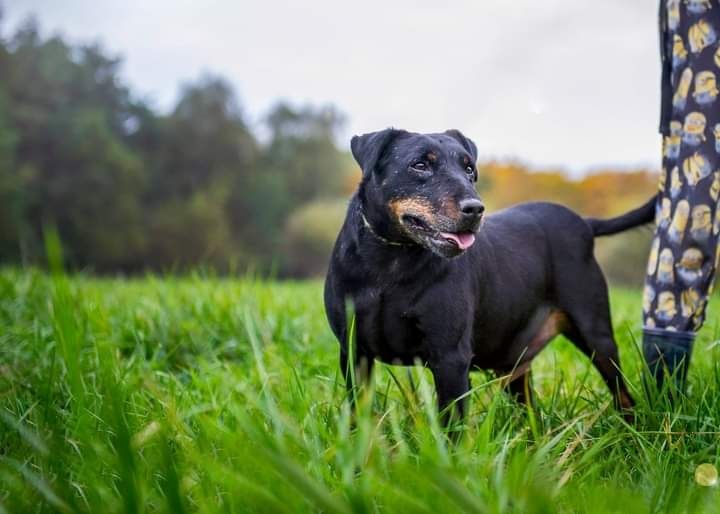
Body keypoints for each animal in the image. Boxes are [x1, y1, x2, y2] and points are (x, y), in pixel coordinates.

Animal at [324, 127, 656, 420]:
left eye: (469, 169)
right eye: (419, 165)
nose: (474, 208)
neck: (391, 262)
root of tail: (586, 224)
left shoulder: (450, 358)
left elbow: (452, 428)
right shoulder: (353, 353)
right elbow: (358, 416)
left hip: (595, 333)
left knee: (623, 395)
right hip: (513, 366)